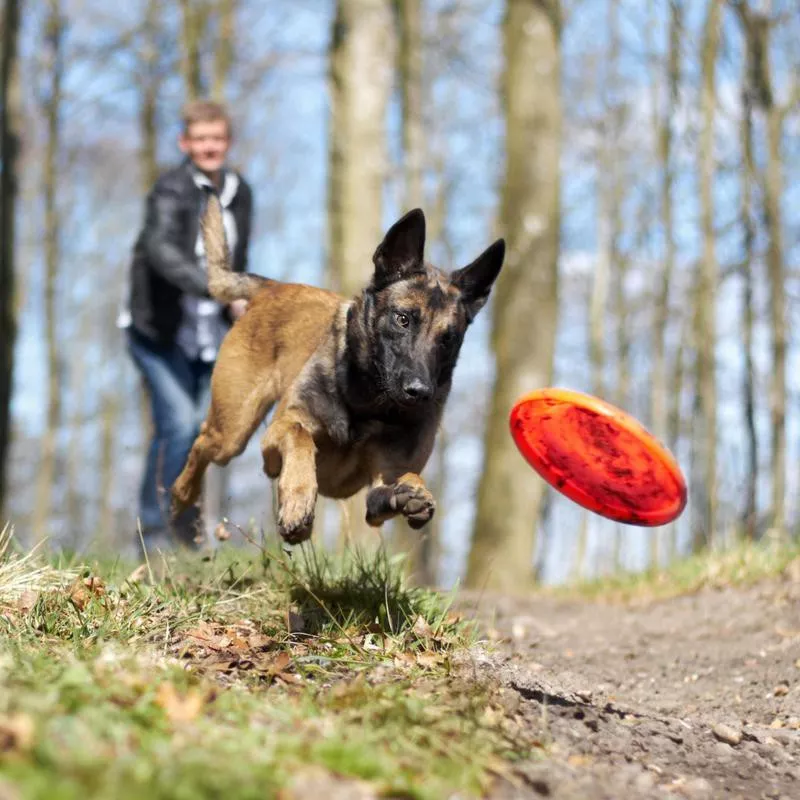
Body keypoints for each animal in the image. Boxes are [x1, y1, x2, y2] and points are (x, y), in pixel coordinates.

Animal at [171, 195, 504, 544]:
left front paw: (411, 493)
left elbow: (396, 485)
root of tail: (273, 287)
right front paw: (297, 500)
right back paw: (182, 495)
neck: (368, 403)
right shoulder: (277, 436)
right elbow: (300, 435)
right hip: (232, 431)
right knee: (202, 443)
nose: (420, 392)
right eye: (403, 319)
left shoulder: (381, 484)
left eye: (448, 339)